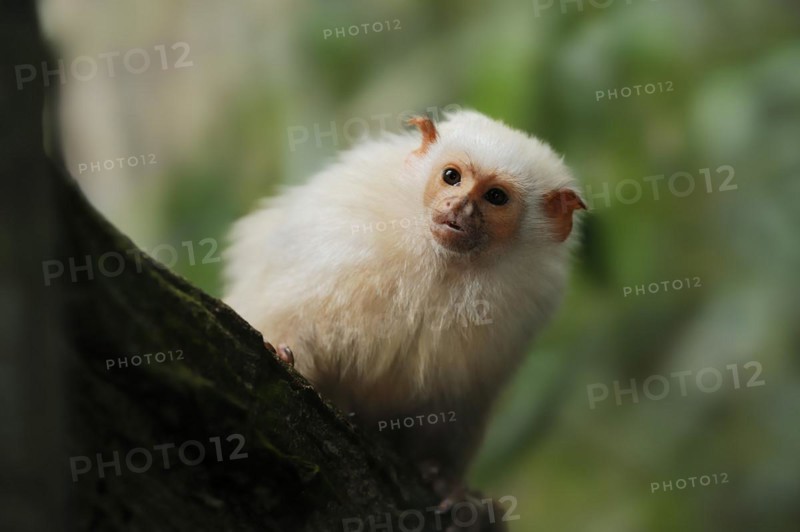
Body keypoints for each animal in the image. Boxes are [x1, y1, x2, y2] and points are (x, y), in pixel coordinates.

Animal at [223, 109, 585, 515]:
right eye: (452, 177)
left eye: (496, 197)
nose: (460, 207)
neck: (443, 264)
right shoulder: (337, 234)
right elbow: (292, 306)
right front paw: (282, 349)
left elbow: (455, 404)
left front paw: (443, 476)